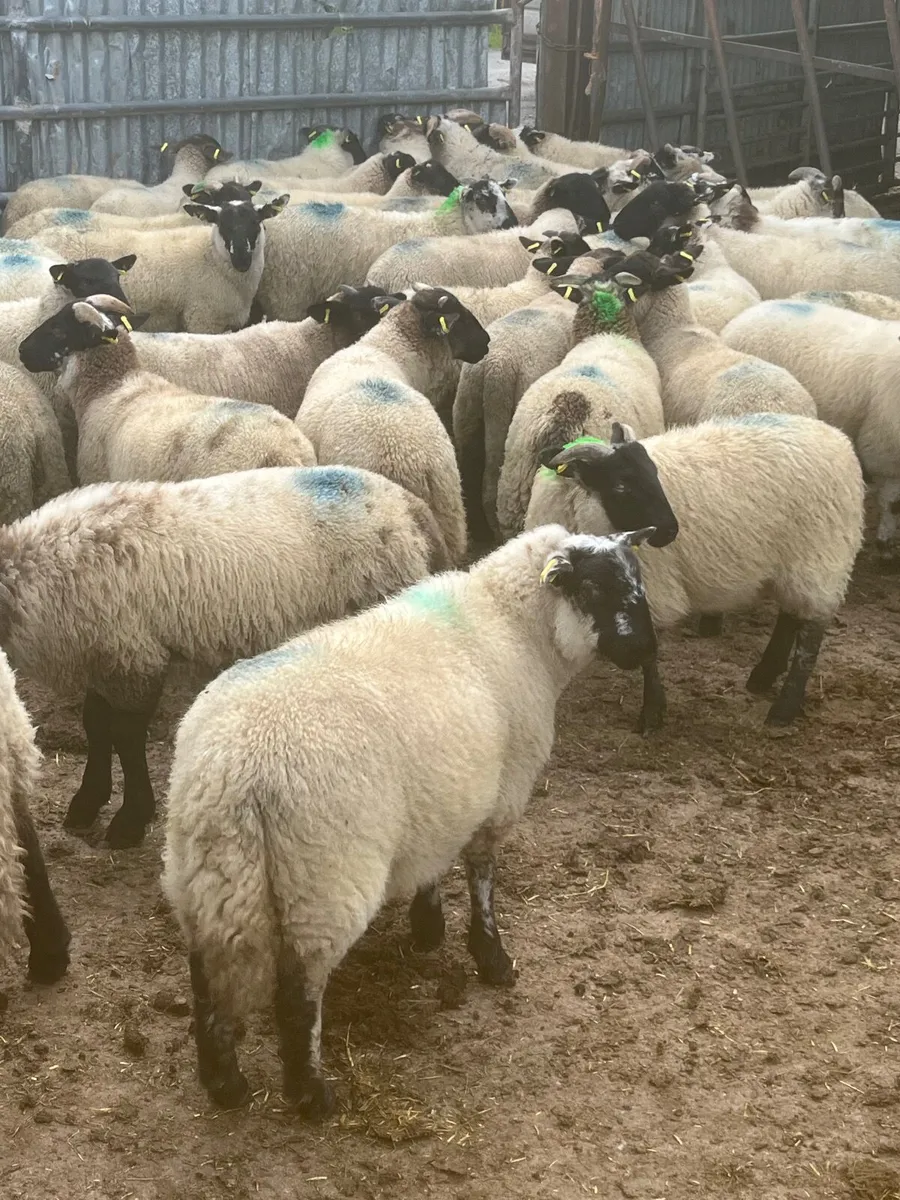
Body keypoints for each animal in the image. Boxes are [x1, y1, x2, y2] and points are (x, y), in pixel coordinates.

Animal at [0, 465, 449, 847]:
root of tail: (414, 510)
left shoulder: (134, 655)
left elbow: (125, 736)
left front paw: (131, 820)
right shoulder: (105, 656)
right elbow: (95, 725)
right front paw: (87, 803)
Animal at [161, 522, 658, 1114]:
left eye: (637, 579)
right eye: (597, 588)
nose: (647, 648)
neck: (514, 626)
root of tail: (234, 764)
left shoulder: (443, 795)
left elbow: (435, 861)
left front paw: (428, 926)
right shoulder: (501, 792)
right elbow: (483, 877)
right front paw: (491, 958)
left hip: (208, 871)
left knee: (205, 973)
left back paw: (225, 1083)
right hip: (321, 877)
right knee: (298, 994)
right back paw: (311, 1095)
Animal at [526, 415, 863, 729]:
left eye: (655, 474)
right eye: (621, 484)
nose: (670, 531)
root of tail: (840, 441)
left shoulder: (648, 588)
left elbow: (649, 654)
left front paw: (653, 713)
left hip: (820, 556)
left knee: (811, 633)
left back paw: (784, 708)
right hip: (793, 562)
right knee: (790, 615)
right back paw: (763, 675)